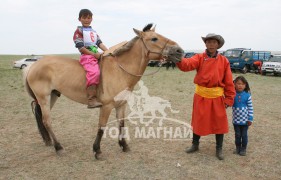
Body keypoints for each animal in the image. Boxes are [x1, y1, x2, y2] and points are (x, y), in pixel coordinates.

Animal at [24, 23, 184, 159]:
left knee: (40, 116)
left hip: (53, 95)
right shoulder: (106, 106)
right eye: (154, 38)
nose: (179, 51)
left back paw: (49, 141)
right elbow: (101, 127)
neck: (120, 71)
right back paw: (58, 147)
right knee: (47, 120)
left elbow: (121, 124)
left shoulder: (121, 104)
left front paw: (124, 145)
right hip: (44, 97)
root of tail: (32, 66)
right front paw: (97, 150)